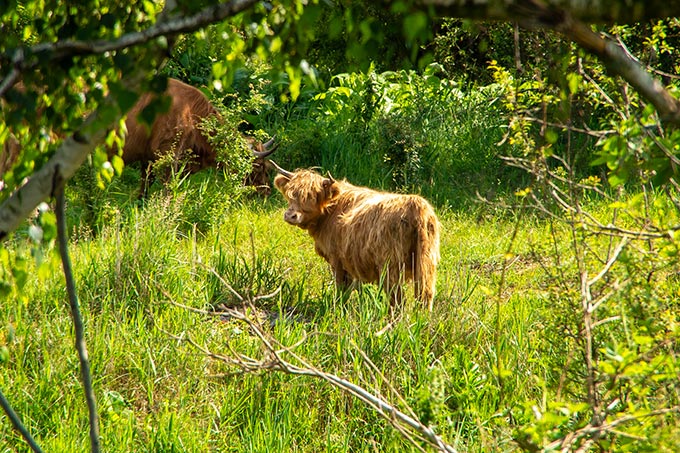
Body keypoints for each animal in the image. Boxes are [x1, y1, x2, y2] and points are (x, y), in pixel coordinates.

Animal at [111, 77, 276, 196]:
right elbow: (167, 189)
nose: (266, 190)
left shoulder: (148, 160)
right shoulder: (168, 156)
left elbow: (145, 186)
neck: (192, 114)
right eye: (259, 166)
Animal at [272, 162, 440, 310]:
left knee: (397, 301)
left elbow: (340, 289)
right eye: (291, 194)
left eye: (312, 197)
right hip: (426, 265)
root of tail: (416, 204)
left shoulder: (336, 259)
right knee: (425, 296)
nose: (290, 215)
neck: (330, 211)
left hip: (391, 268)